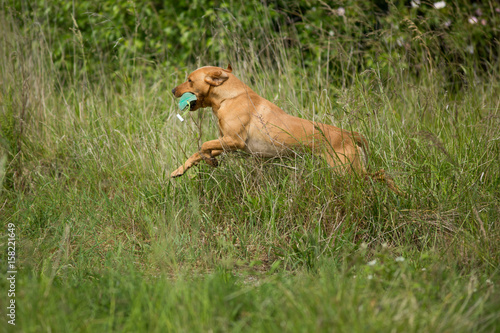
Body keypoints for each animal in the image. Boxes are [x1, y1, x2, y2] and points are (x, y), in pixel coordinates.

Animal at [172, 63, 402, 193]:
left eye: (189, 80)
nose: (173, 90)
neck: (229, 97)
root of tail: (348, 134)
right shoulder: (226, 143)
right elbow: (197, 152)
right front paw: (179, 170)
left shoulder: (234, 141)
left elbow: (203, 145)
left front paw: (210, 160)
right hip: (350, 170)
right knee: (382, 174)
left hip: (347, 171)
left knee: (381, 174)